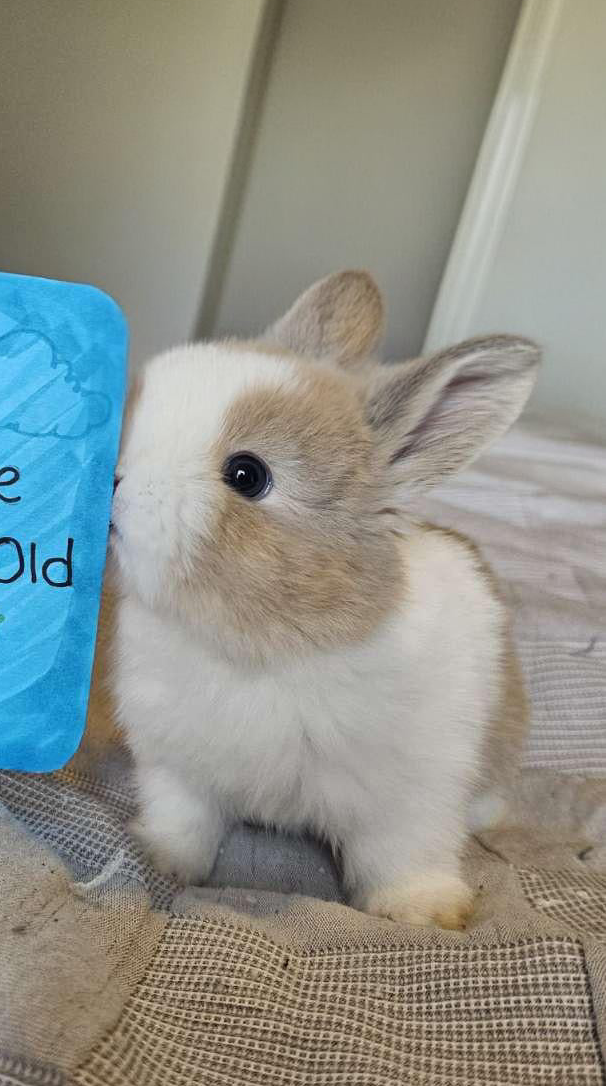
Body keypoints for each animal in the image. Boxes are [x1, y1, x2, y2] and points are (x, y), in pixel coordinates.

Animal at [110, 270, 540, 929]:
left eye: (247, 475)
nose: (110, 477)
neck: (266, 650)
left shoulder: (410, 802)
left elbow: (404, 859)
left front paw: (425, 915)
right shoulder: (174, 770)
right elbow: (182, 825)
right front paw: (164, 864)